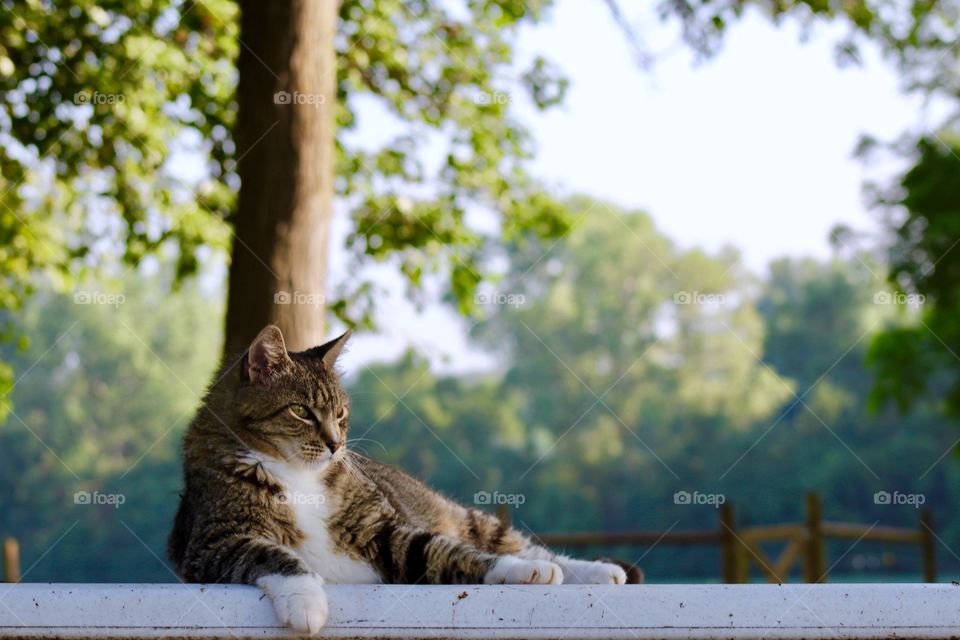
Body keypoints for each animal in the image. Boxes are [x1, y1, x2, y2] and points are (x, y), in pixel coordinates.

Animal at [169, 324, 632, 636]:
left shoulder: (386, 531)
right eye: (301, 411)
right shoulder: (213, 542)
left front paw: (522, 571)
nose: (337, 445)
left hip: (467, 519)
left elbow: (449, 552)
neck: (297, 473)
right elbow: (271, 554)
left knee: (518, 545)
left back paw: (593, 570)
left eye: (340, 413)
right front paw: (305, 601)